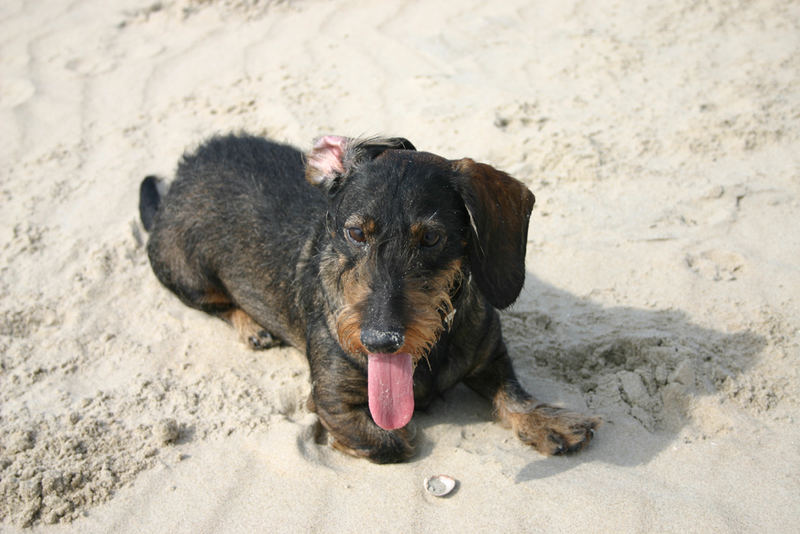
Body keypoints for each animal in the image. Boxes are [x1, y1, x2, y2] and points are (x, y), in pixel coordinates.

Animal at [139, 134, 600, 464]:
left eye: (431, 238)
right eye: (355, 232)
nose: (380, 341)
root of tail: (181, 175)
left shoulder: (491, 355)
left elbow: (513, 392)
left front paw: (545, 421)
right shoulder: (331, 400)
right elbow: (393, 442)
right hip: (186, 274)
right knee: (217, 303)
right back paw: (251, 326)